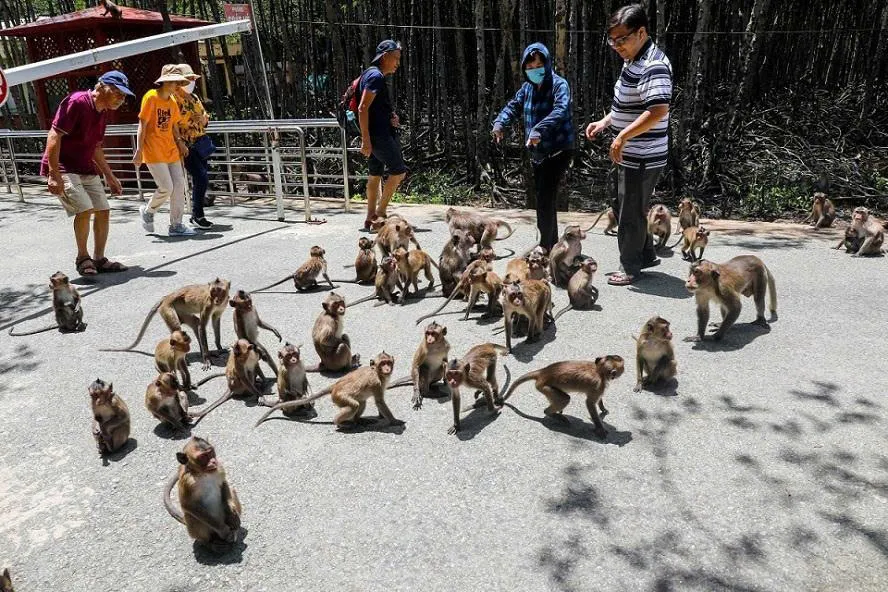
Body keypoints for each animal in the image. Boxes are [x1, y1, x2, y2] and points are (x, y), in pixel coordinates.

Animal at [102, 278, 230, 370]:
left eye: (220, 291)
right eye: (213, 291)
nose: (216, 299)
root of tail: (167, 296)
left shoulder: (222, 305)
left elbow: (215, 320)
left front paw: (219, 347)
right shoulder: (208, 305)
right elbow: (202, 326)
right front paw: (206, 359)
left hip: (180, 310)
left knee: (195, 323)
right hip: (167, 309)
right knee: (178, 328)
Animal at [254, 351, 402, 430]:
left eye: (388, 362)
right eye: (382, 364)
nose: (387, 369)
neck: (378, 372)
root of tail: (335, 385)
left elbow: (379, 402)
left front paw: (381, 416)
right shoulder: (377, 383)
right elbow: (380, 402)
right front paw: (394, 421)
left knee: (361, 403)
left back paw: (357, 421)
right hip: (339, 396)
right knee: (354, 405)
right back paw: (339, 423)